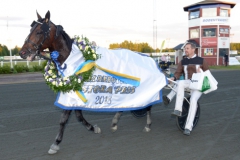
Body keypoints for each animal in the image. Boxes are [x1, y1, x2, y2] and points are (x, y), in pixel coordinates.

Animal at [19, 10, 156, 154]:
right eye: (31, 29)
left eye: (39, 31)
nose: (22, 52)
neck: (73, 60)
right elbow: (78, 115)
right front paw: (93, 128)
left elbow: (64, 118)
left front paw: (56, 143)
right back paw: (114, 123)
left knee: (147, 103)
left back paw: (147, 125)